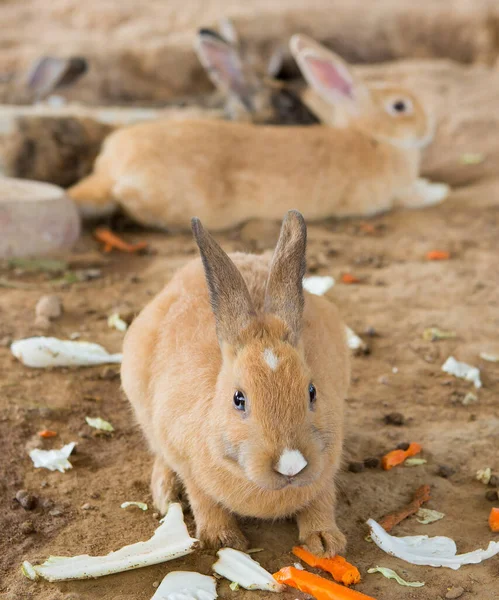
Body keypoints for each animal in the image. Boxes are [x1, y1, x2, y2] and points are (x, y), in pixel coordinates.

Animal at [67, 35, 450, 229]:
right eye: (400, 106)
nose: (431, 127)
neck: (374, 137)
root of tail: (109, 170)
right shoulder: (393, 194)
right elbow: (415, 196)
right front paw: (439, 190)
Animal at [121, 209, 352, 556]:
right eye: (238, 399)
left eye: (312, 392)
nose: (291, 464)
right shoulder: (187, 461)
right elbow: (203, 498)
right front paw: (223, 540)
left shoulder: (326, 466)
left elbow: (321, 499)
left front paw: (325, 543)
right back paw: (165, 493)